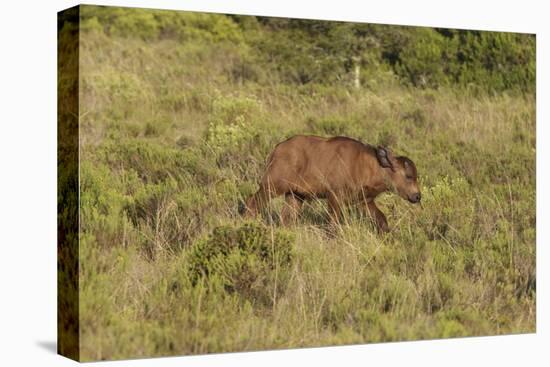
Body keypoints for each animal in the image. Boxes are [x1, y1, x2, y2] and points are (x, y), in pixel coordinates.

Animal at [243, 135, 422, 233]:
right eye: (408, 176)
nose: (417, 196)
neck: (369, 164)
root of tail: (278, 149)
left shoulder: (364, 201)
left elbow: (381, 219)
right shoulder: (335, 197)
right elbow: (333, 223)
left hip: (295, 196)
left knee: (286, 217)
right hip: (271, 187)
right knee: (253, 203)